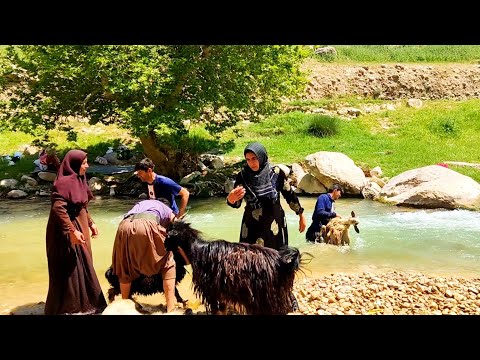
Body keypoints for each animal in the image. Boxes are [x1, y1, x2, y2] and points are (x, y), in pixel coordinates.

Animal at [165, 219, 308, 316]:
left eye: (168, 235)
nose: (164, 244)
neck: (196, 249)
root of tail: (284, 263)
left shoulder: (210, 289)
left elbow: (216, 309)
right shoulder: (219, 289)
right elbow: (222, 308)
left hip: (266, 295)